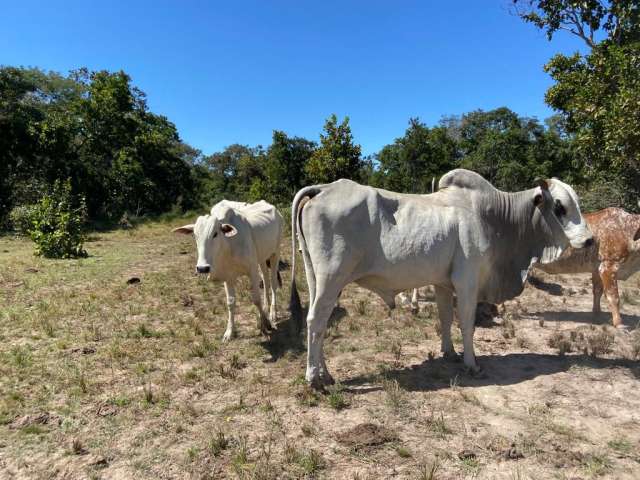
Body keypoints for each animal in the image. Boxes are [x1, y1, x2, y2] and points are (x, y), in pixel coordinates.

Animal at [175, 199, 284, 342]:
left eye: (215, 234)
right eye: (195, 235)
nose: (202, 268)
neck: (228, 245)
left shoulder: (252, 271)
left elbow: (256, 299)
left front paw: (265, 323)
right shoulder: (228, 277)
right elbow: (230, 303)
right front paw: (229, 332)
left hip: (275, 253)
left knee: (273, 283)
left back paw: (272, 313)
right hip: (262, 258)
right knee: (265, 279)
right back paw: (266, 307)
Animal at [288, 171, 592, 388]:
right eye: (560, 206)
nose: (590, 240)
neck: (494, 218)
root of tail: (323, 188)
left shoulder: (443, 284)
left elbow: (445, 319)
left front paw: (450, 353)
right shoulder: (467, 282)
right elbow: (467, 324)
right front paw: (472, 363)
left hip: (318, 280)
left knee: (320, 323)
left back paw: (325, 374)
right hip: (331, 279)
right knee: (315, 321)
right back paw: (314, 379)